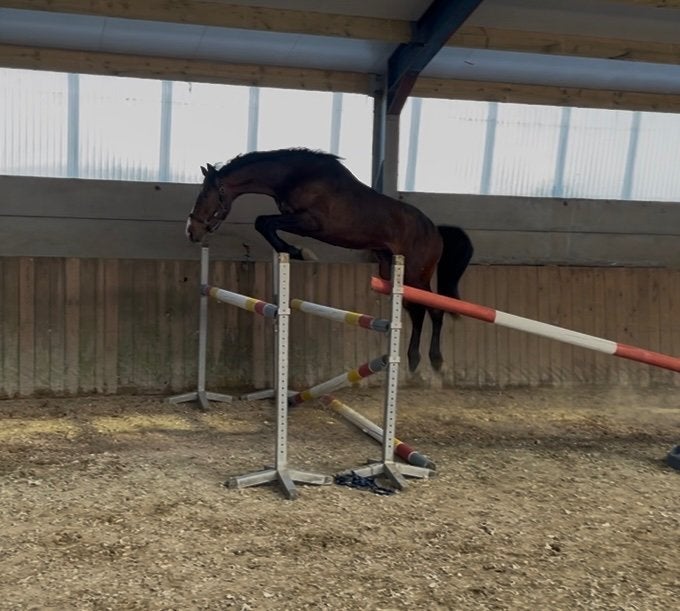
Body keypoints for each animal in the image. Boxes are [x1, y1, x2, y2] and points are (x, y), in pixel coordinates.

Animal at [185, 148, 473, 373]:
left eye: (205, 195)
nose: (192, 231)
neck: (294, 176)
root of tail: (435, 231)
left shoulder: (311, 222)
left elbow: (264, 222)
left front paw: (299, 252)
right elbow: (264, 224)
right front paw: (294, 251)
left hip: (415, 273)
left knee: (432, 309)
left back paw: (432, 360)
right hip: (391, 271)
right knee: (417, 311)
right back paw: (417, 360)